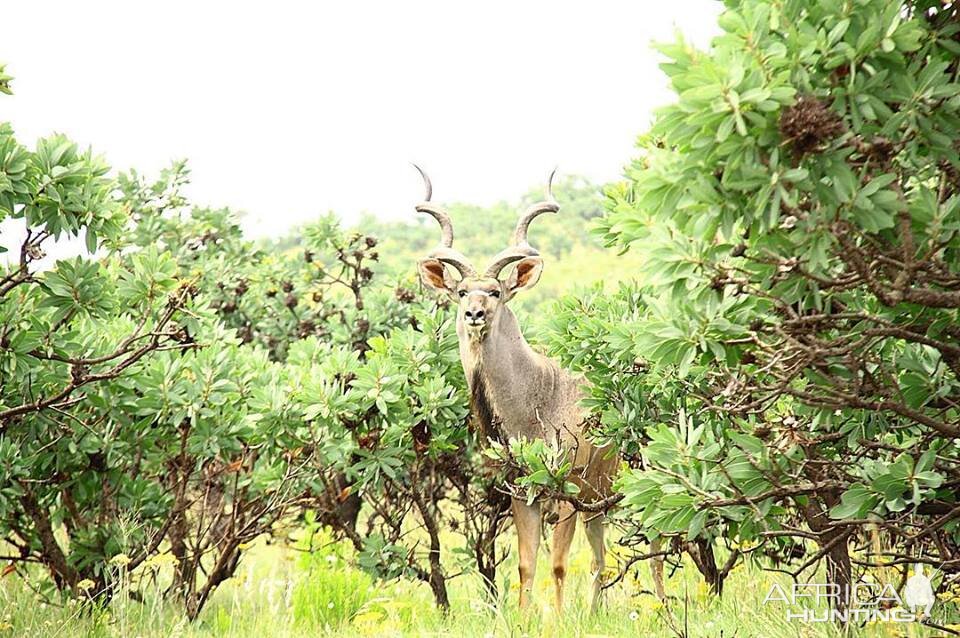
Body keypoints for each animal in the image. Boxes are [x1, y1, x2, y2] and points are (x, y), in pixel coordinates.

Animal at [412, 166, 668, 616]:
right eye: (461, 291)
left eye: (495, 291)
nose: (474, 313)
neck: (537, 400)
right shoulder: (524, 494)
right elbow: (526, 564)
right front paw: (525, 618)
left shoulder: (566, 492)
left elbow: (559, 565)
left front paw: (559, 621)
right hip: (600, 504)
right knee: (602, 559)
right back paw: (597, 612)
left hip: (645, 491)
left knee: (659, 552)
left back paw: (666, 610)